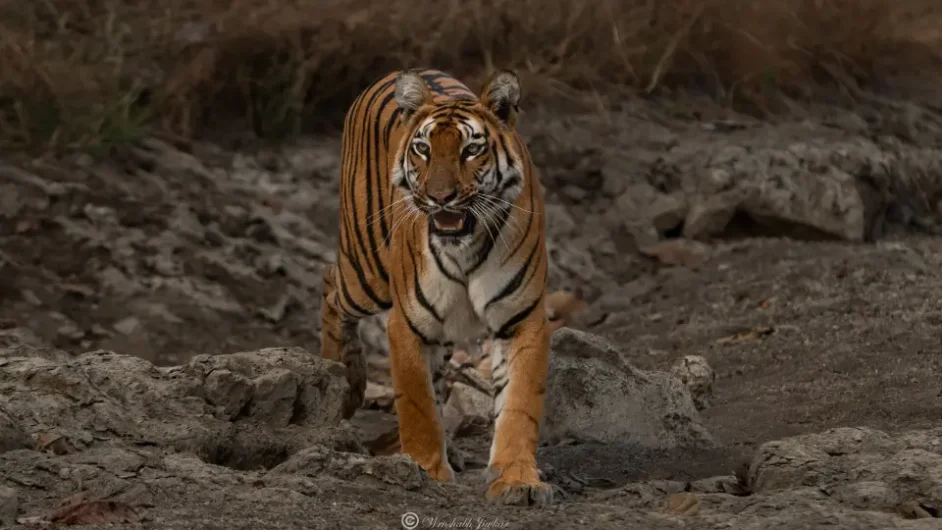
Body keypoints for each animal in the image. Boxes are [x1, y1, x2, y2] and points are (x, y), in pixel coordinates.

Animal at [319, 68, 552, 507]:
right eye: (423, 150)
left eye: (472, 150)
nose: (440, 197)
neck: (466, 246)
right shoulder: (409, 324)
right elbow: (418, 404)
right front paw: (426, 471)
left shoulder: (521, 320)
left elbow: (519, 406)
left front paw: (517, 479)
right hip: (366, 270)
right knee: (330, 286)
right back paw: (339, 380)